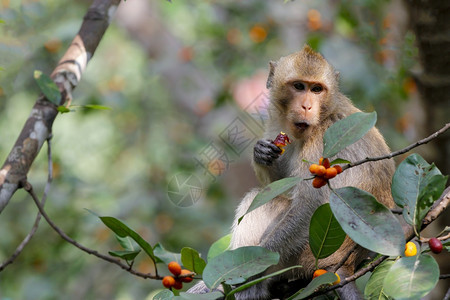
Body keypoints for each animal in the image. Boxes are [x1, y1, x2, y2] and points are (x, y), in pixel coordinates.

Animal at [188, 45, 396, 300]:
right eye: (299, 86)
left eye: (316, 89)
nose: (307, 106)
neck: (324, 115)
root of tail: (348, 263)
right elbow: (281, 183)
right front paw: (261, 153)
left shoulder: (322, 143)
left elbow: (308, 206)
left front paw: (246, 270)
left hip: (305, 256)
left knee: (259, 202)